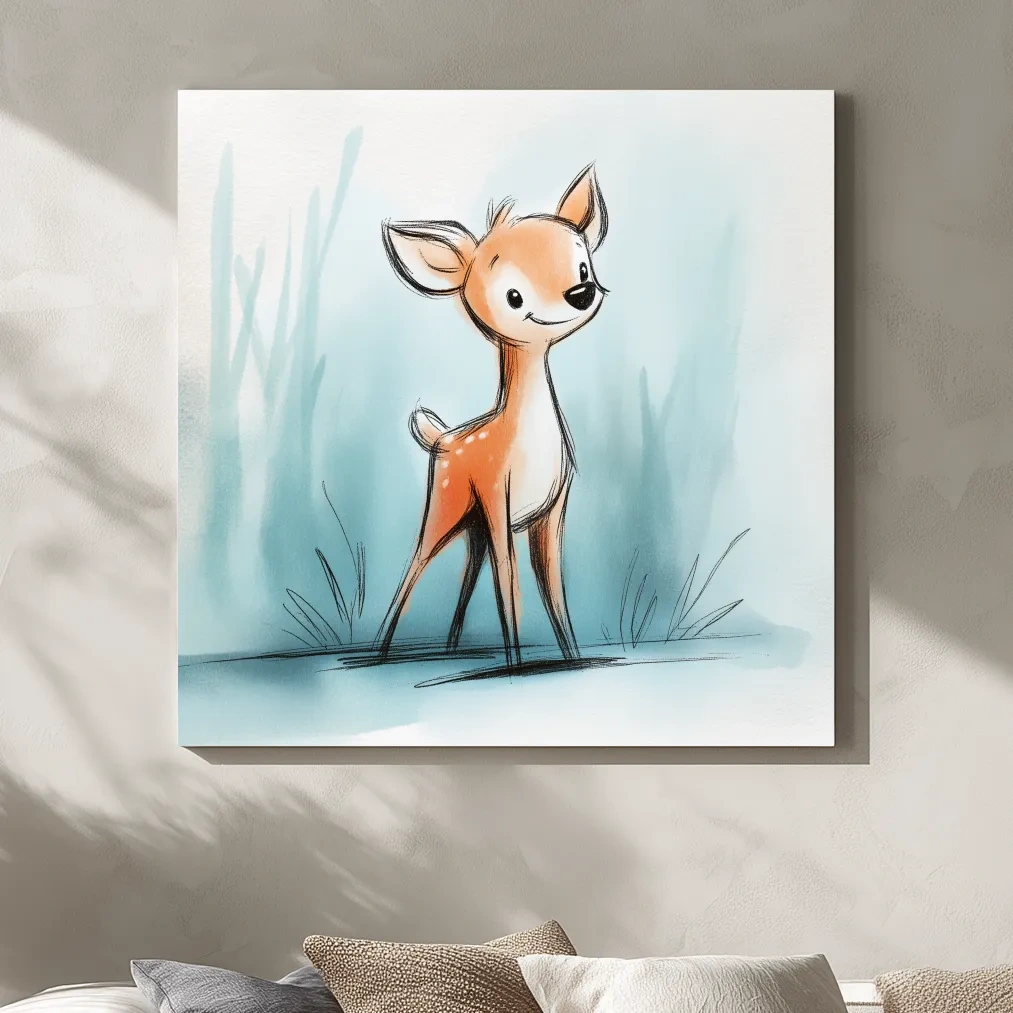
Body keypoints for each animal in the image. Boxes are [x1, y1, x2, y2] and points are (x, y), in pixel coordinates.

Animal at [375, 165, 608, 668]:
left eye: (583, 266)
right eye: (513, 296)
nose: (581, 292)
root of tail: (439, 437)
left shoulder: (552, 510)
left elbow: (553, 593)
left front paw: (570, 660)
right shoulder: (499, 498)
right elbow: (511, 590)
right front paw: (518, 668)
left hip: (473, 525)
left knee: (465, 581)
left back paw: (449, 650)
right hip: (445, 507)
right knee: (412, 570)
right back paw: (377, 653)